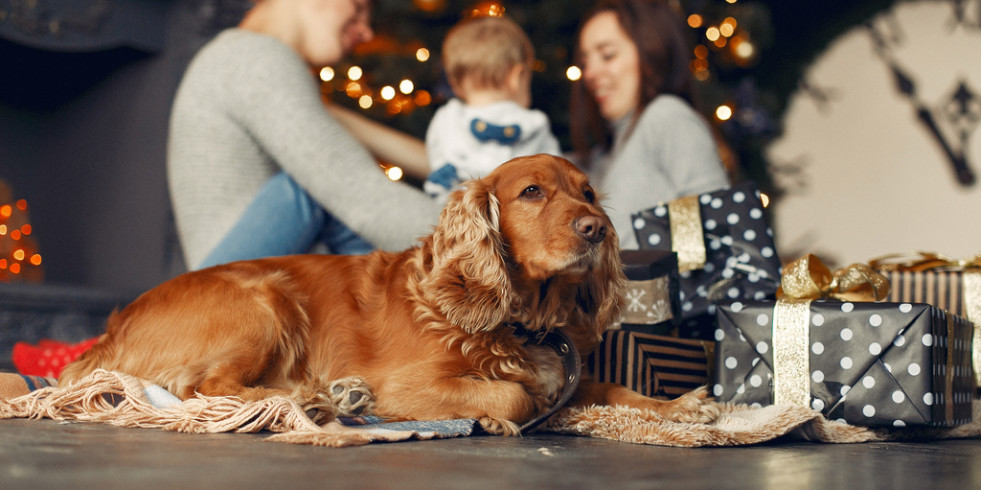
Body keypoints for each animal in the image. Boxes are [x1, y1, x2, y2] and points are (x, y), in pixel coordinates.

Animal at [63, 155, 720, 434]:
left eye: (587, 193)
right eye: (532, 192)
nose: (597, 228)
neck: (520, 318)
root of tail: (112, 330)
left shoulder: (569, 380)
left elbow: (615, 391)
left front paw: (682, 407)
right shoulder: (408, 383)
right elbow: (511, 395)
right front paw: (500, 416)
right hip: (264, 299)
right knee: (206, 390)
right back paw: (320, 400)